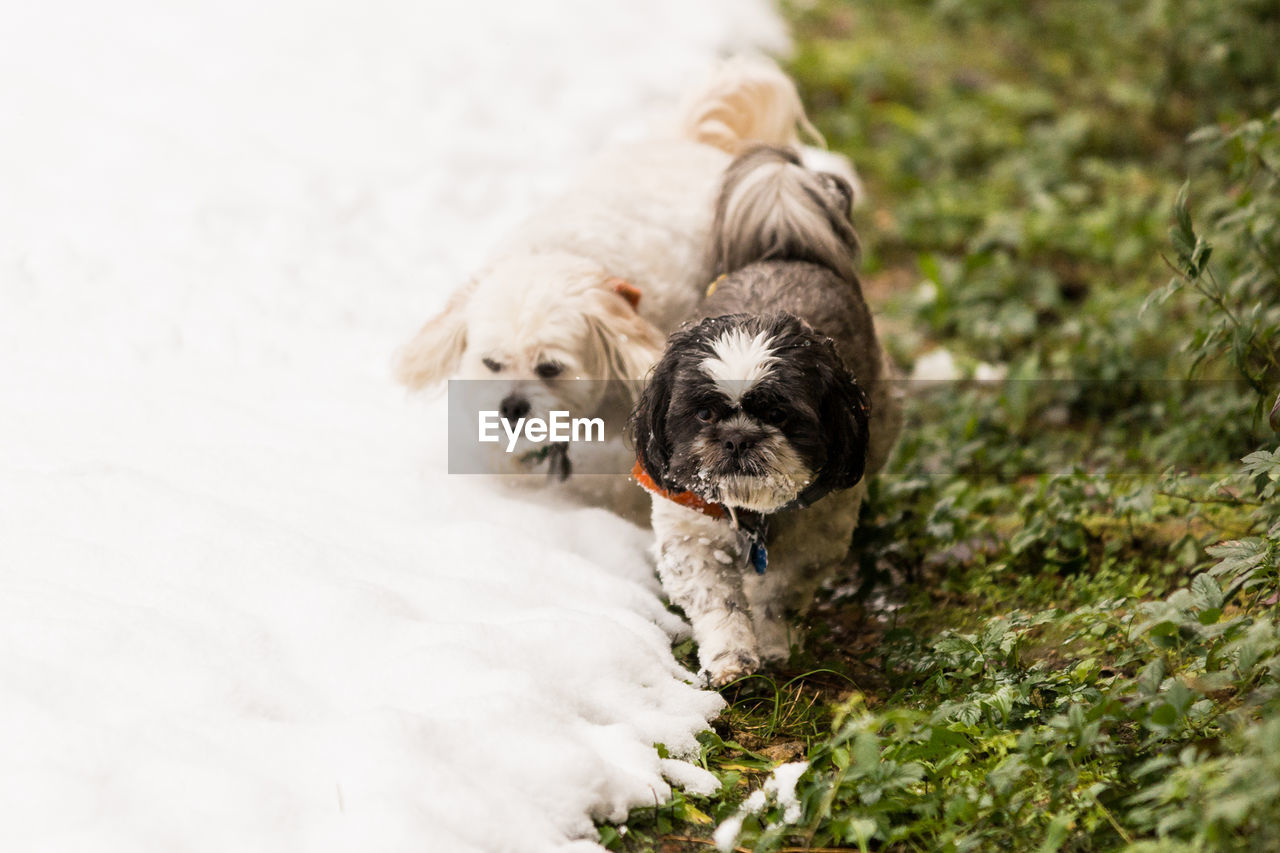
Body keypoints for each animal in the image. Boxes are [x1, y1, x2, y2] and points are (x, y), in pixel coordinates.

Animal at [629, 142, 901, 681]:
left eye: (778, 417)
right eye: (704, 416)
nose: (737, 437)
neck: (752, 515)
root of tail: (785, 249)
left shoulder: (817, 533)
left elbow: (777, 593)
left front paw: (773, 645)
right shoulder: (690, 533)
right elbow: (718, 601)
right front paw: (730, 658)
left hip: (880, 428)